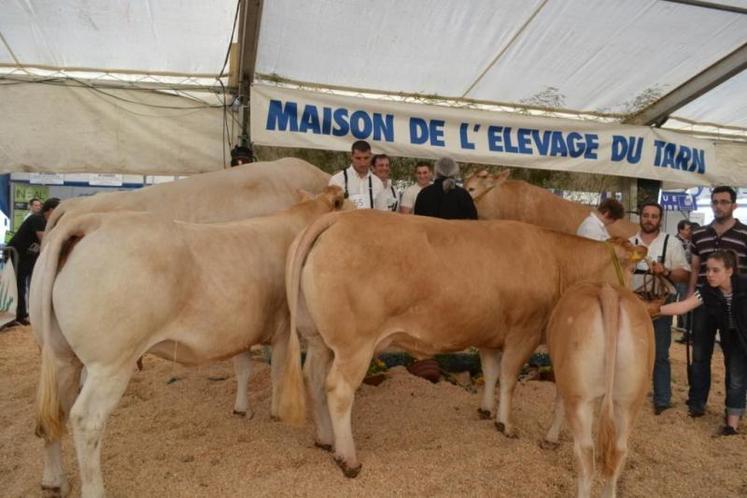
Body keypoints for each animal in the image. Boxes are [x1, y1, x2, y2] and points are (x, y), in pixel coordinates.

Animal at [34, 188, 348, 498]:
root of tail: (91, 222)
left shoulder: (239, 331)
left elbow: (243, 368)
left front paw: (242, 408)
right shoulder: (283, 328)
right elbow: (278, 372)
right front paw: (277, 412)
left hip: (63, 358)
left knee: (53, 415)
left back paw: (54, 480)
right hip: (109, 364)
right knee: (86, 419)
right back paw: (94, 489)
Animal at [278, 211, 644, 478]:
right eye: (635, 267)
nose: (640, 299)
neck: (556, 261)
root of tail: (337, 217)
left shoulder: (490, 336)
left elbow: (491, 372)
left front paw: (485, 410)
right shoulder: (523, 332)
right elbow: (509, 379)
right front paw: (505, 425)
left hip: (319, 340)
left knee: (313, 379)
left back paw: (325, 440)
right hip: (354, 345)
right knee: (338, 390)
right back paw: (348, 459)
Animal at [544, 284, 656, 498]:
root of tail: (608, 290)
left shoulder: (560, 377)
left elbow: (558, 403)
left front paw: (551, 437)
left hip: (579, 396)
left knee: (585, 453)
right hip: (630, 400)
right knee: (619, 452)